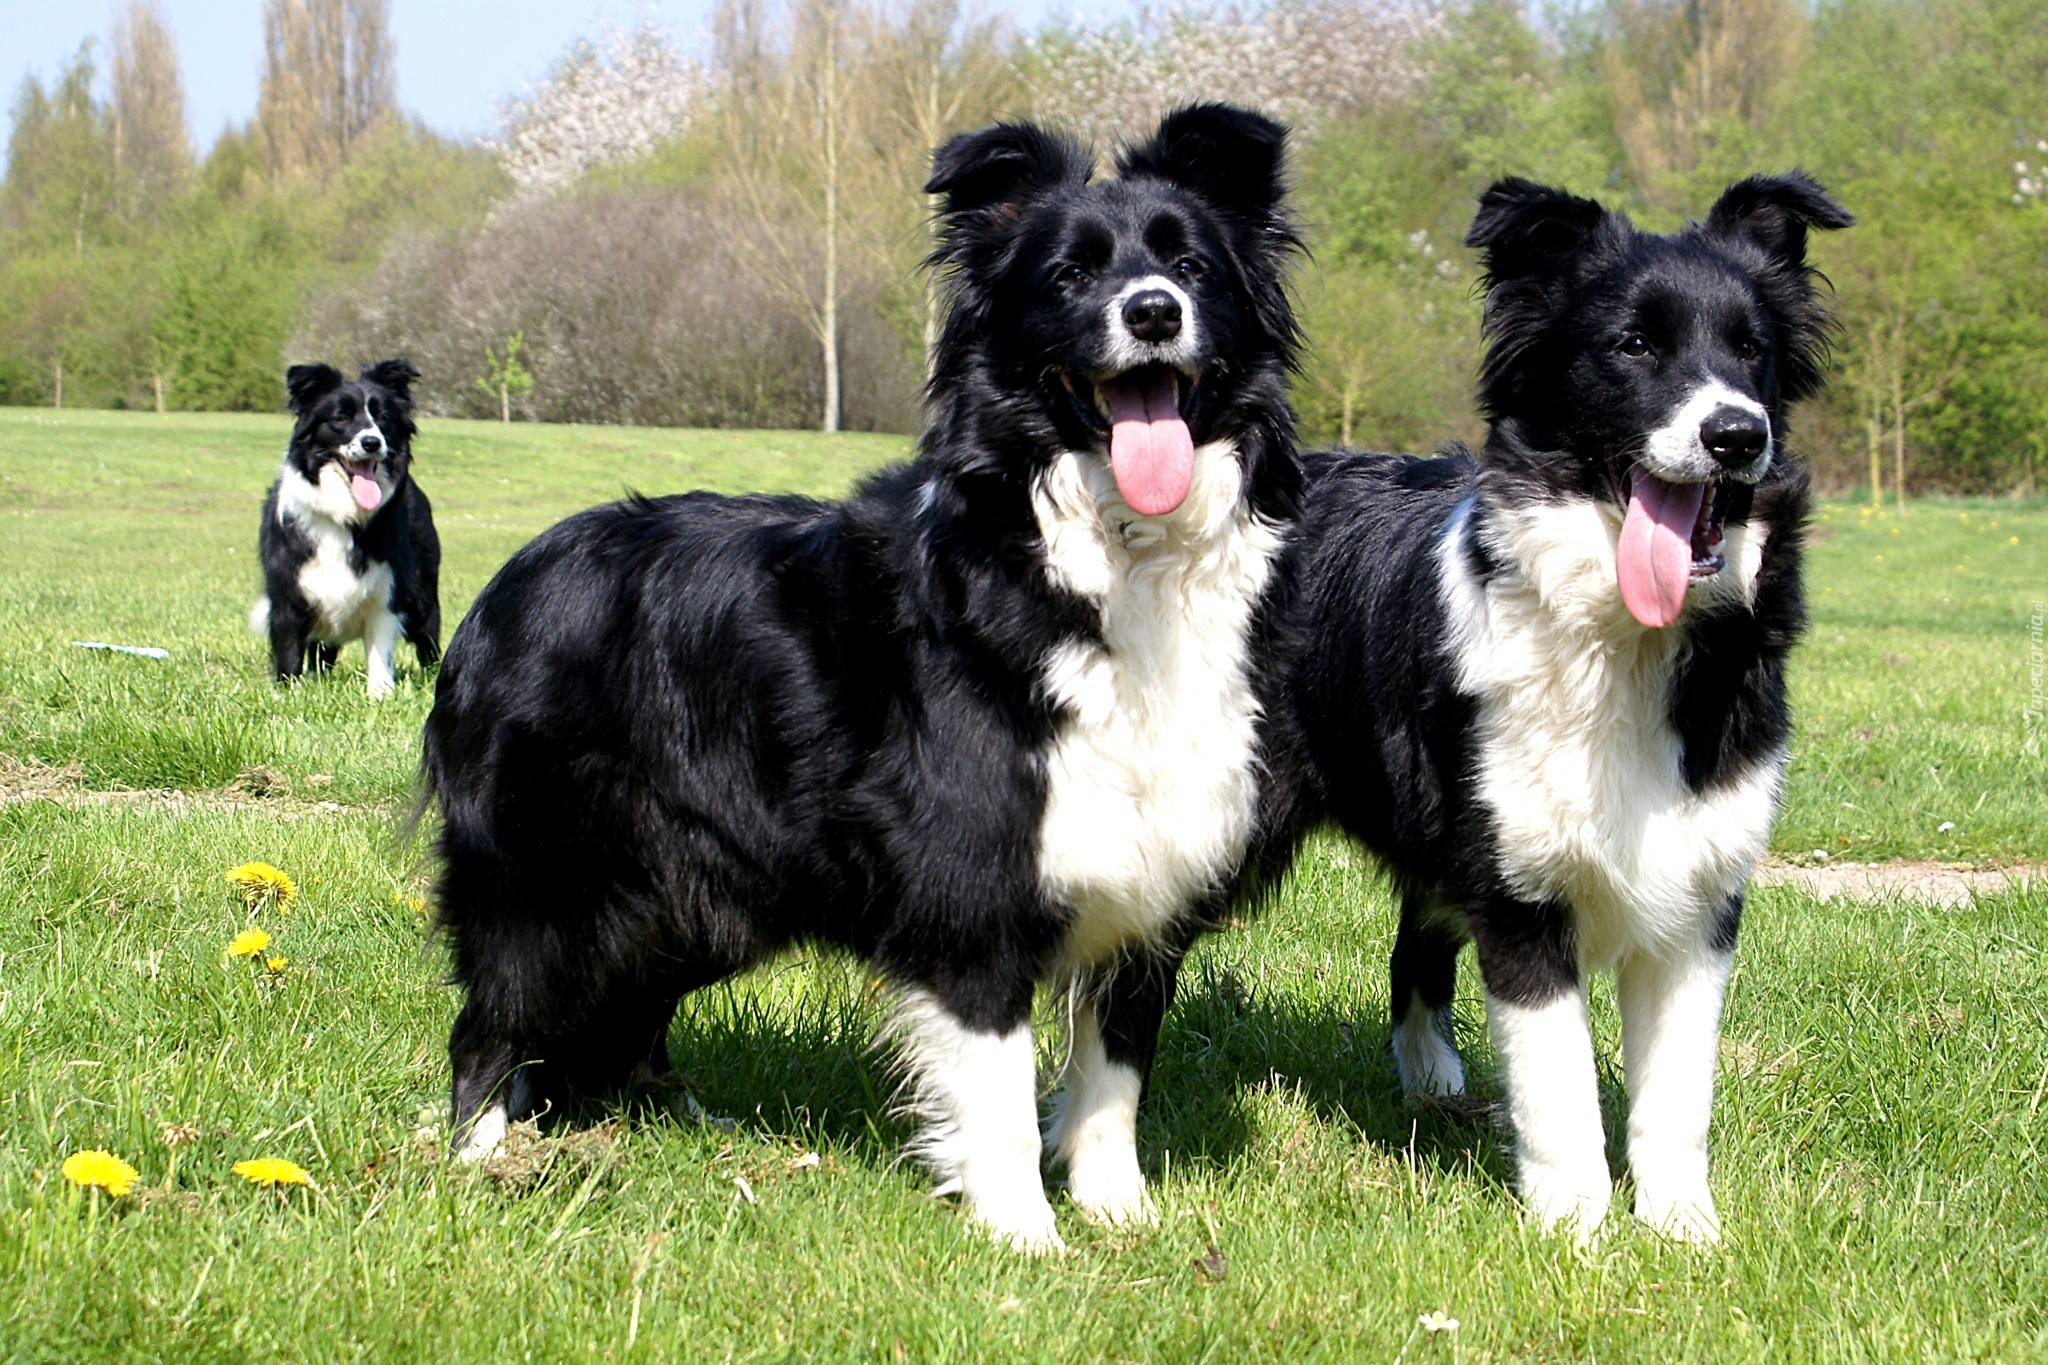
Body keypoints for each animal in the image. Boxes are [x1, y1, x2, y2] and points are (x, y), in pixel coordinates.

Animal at [253, 358, 442, 699]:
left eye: (382, 418)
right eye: (341, 418)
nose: (372, 442)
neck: (342, 515)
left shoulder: (387, 592)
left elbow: (380, 652)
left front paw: (380, 695)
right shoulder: (288, 594)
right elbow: (288, 652)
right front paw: (288, 693)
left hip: (424, 596)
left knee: (428, 641)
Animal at [421, 106, 1302, 1252]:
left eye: (1191, 265)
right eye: (1069, 275)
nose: (1153, 312)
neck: (1104, 554)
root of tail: (501, 589)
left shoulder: (1145, 888)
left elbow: (1113, 1080)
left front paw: (1123, 1218)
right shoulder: (971, 886)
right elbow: (1001, 1095)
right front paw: (1025, 1238)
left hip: (691, 895)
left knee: (616, 1024)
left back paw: (674, 1126)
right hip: (552, 881)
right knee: (490, 1023)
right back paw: (486, 1159)